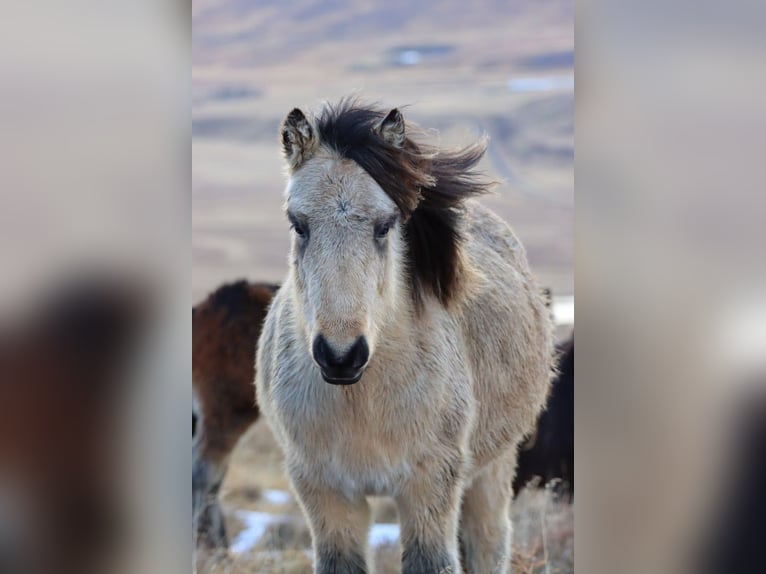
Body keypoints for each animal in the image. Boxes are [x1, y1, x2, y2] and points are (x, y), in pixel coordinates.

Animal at [256, 98, 554, 574]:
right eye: (298, 224)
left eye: (385, 225)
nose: (341, 356)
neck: (361, 401)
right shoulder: (324, 492)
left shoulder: (429, 485)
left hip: (492, 468)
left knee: (488, 540)